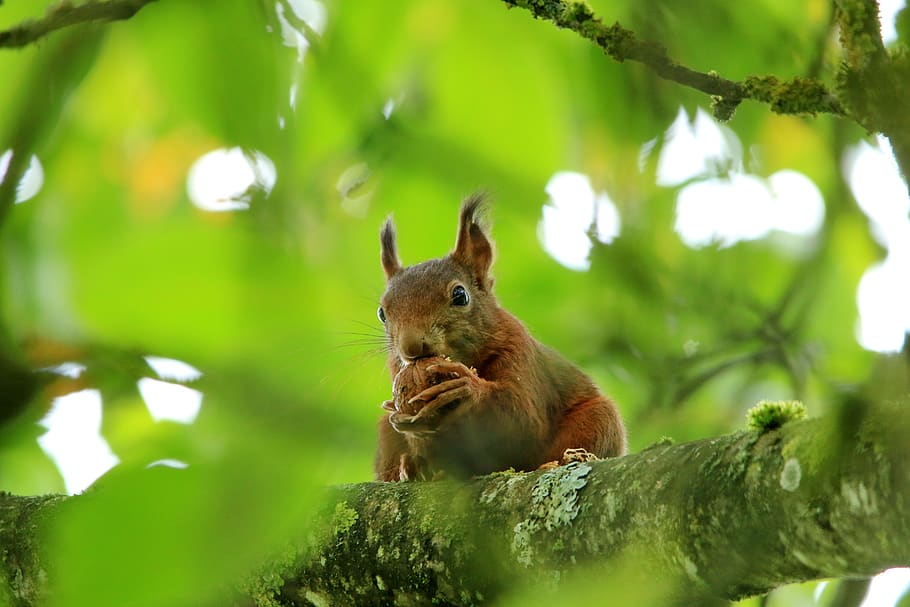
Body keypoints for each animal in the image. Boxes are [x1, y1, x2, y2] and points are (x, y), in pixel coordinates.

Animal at [374, 194, 626, 481]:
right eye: (382, 313)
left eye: (460, 295)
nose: (411, 345)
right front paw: (403, 419)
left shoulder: (519, 352)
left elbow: (523, 419)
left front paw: (466, 388)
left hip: (600, 419)